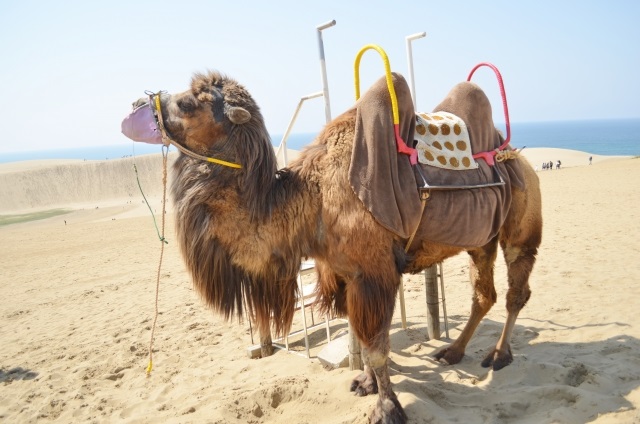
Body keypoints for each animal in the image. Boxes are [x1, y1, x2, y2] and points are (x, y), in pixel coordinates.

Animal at [123, 70, 542, 424]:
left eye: (190, 103)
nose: (136, 103)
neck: (313, 198)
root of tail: (520, 158)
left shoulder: (372, 273)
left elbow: (376, 346)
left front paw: (387, 409)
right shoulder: (343, 273)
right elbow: (361, 334)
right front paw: (367, 385)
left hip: (521, 225)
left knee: (516, 290)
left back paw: (499, 355)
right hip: (482, 239)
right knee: (483, 294)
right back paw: (451, 352)